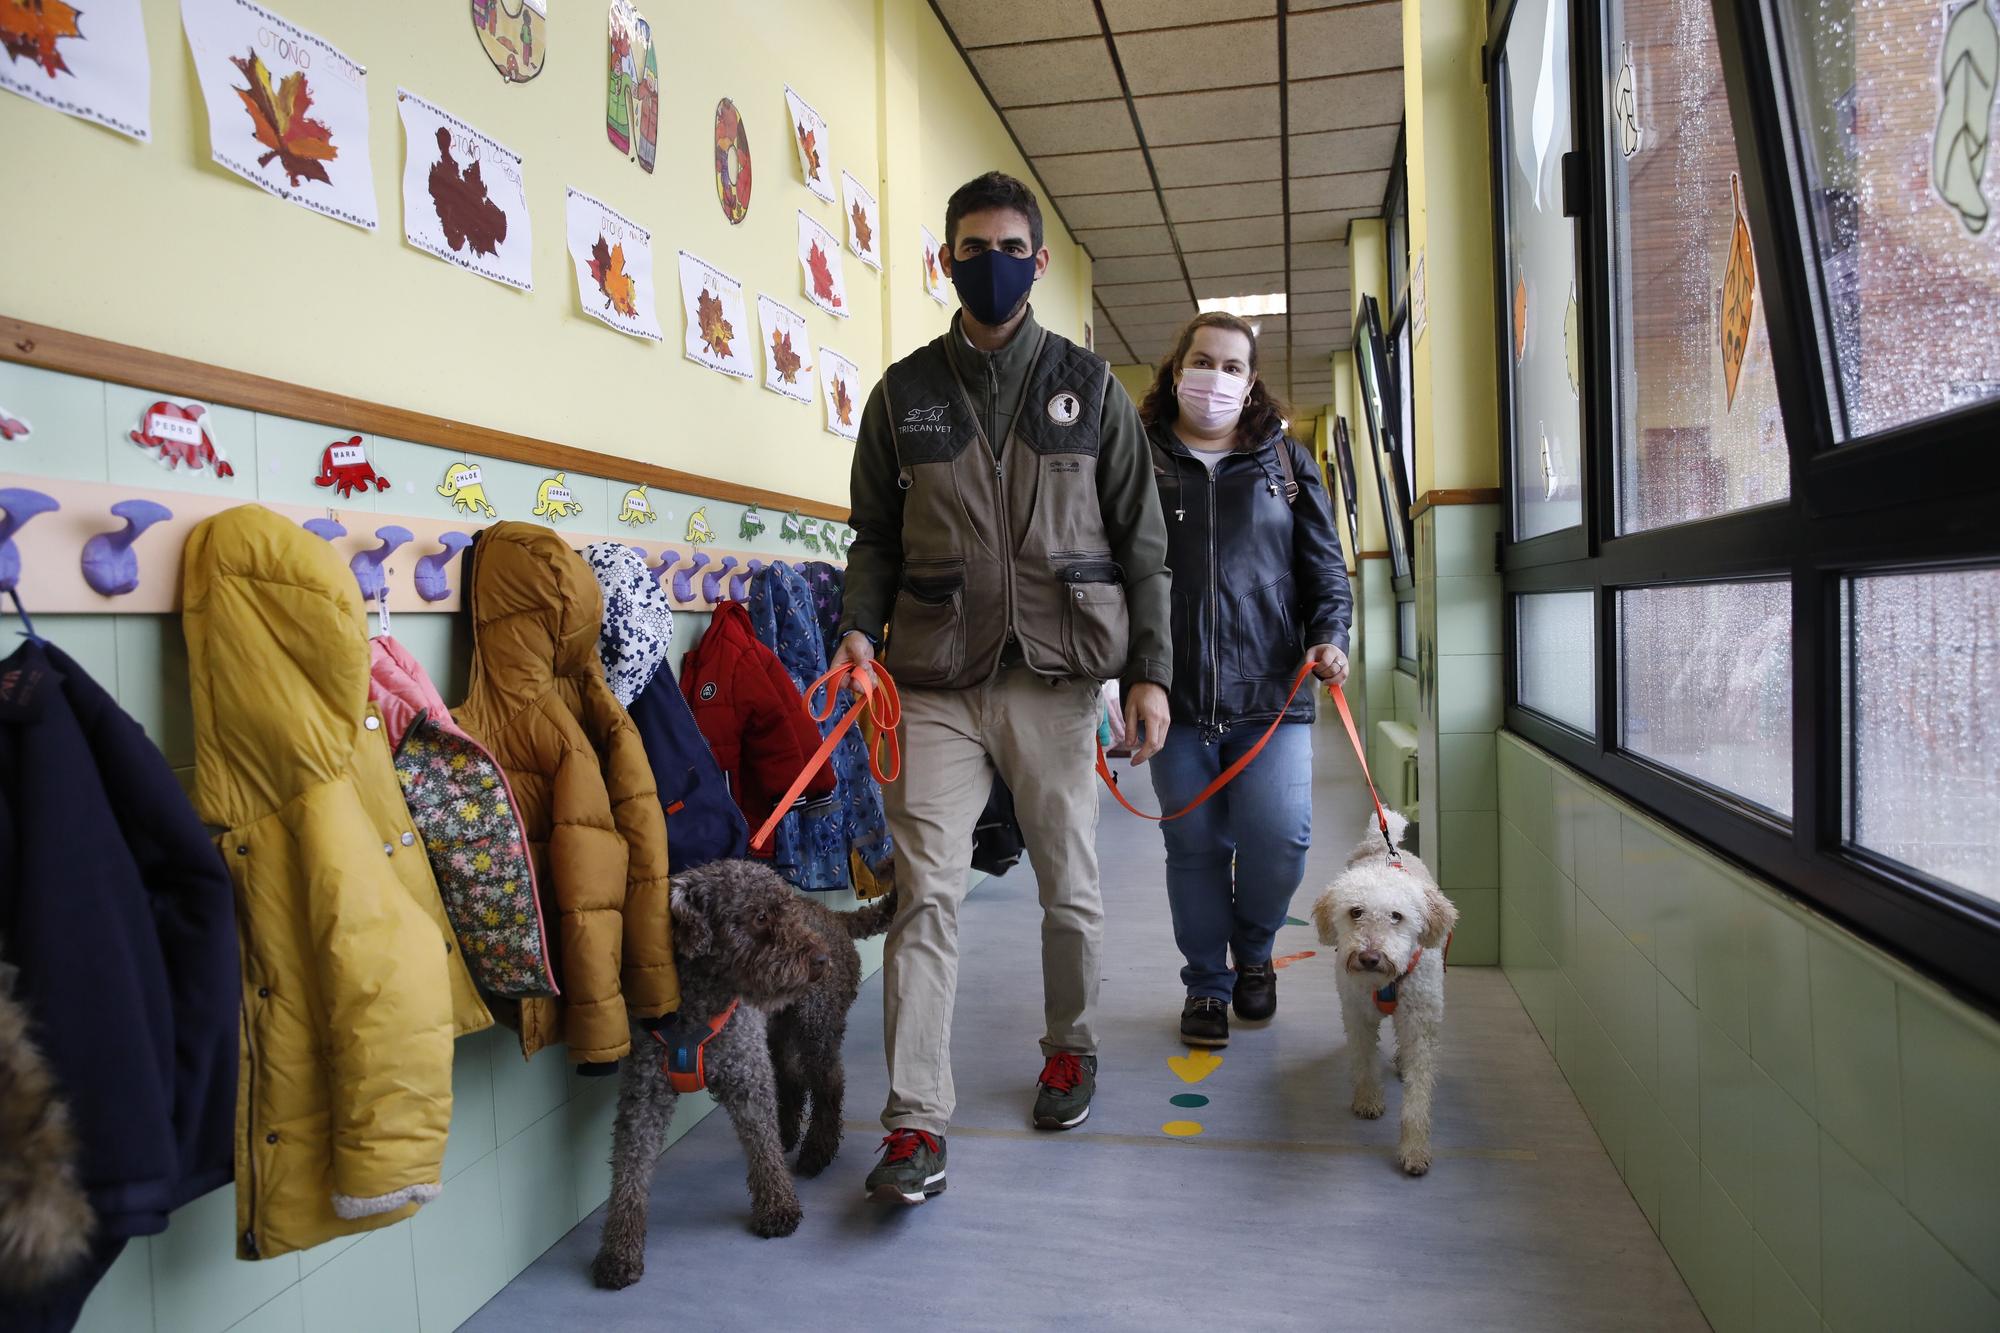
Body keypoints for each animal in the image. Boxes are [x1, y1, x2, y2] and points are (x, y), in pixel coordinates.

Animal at [1312, 804, 1456, 1168]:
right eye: (1356, 912)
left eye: (1396, 916)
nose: (1369, 957)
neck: (1387, 981)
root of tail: (1382, 848)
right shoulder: (1358, 1014)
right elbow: (1364, 1060)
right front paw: (1367, 1100)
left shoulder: (1420, 1025)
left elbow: (1418, 1094)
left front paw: (1414, 1149)